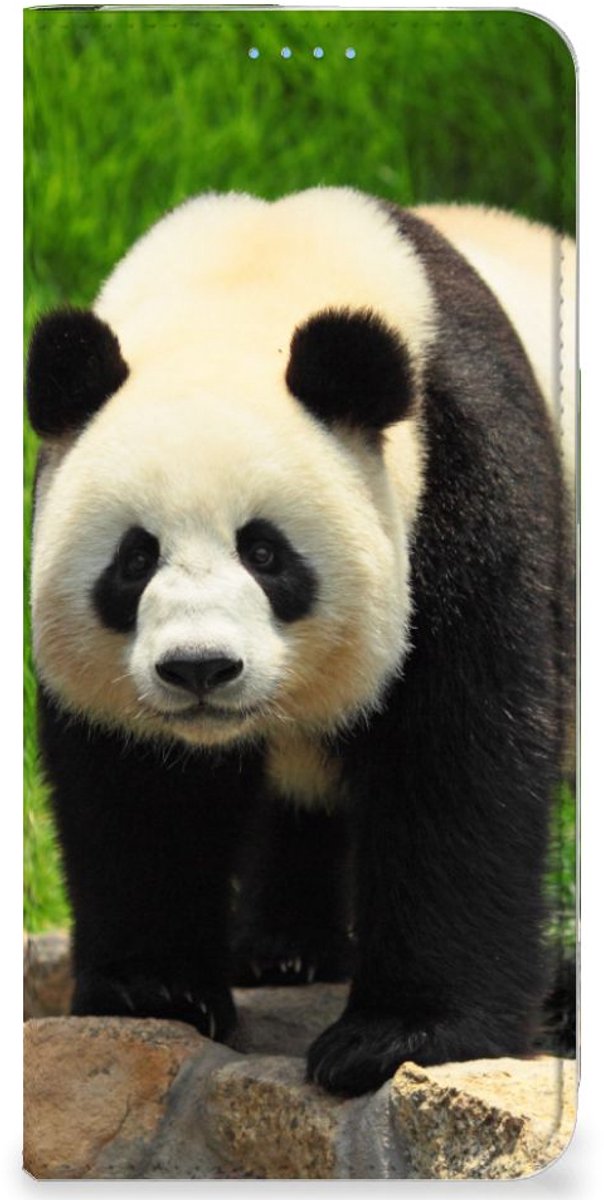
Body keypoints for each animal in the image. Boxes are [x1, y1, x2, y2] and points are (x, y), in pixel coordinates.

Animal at [27, 188, 575, 1096]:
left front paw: (399, 1036)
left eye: (266, 552)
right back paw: (284, 950)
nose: (200, 668)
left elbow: (457, 758)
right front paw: (156, 990)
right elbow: (139, 787)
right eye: (135, 558)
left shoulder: (465, 482)